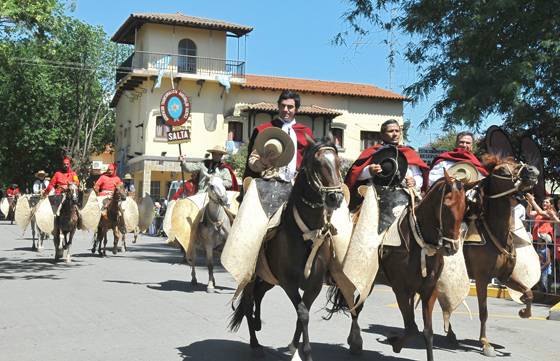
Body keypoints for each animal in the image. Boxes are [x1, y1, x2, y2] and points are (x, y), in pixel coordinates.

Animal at [229, 137, 346, 360]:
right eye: (317, 163)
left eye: (339, 163)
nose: (335, 198)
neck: (306, 234)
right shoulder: (288, 283)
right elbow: (303, 313)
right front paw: (306, 352)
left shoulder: (314, 285)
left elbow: (303, 313)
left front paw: (294, 347)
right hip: (254, 275)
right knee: (248, 302)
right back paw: (255, 344)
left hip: (269, 278)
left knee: (259, 294)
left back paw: (258, 323)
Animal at [326, 172, 466, 360]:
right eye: (446, 206)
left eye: (465, 207)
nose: (452, 247)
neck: (419, 244)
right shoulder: (401, 289)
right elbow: (412, 328)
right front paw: (395, 344)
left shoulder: (429, 291)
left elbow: (427, 331)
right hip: (368, 279)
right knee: (356, 306)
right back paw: (355, 342)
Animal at [446, 156, 540, 356]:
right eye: (502, 171)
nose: (532, 171)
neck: (496, 233)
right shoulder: (482, 278)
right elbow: (484, 311)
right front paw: (485, 343)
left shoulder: (504, 276)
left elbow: (528, 293)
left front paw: (524, 312)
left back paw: (450, 334)